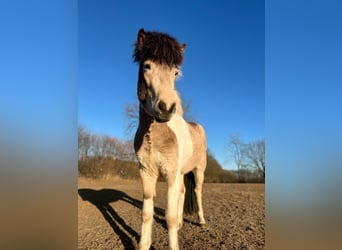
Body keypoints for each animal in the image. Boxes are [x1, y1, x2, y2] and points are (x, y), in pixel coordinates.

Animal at [132, 28, 206, 249]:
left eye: (175, 72)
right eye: (147, 66)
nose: (166, 108)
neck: (154, 136)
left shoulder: (171, 175)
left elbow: (170, 216)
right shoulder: (147, 174)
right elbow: (146, 214)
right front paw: (143, 244)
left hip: (198, 170)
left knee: (197, 192)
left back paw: (201, 221)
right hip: (181, 173)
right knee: (183, 192)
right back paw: (182, 223)